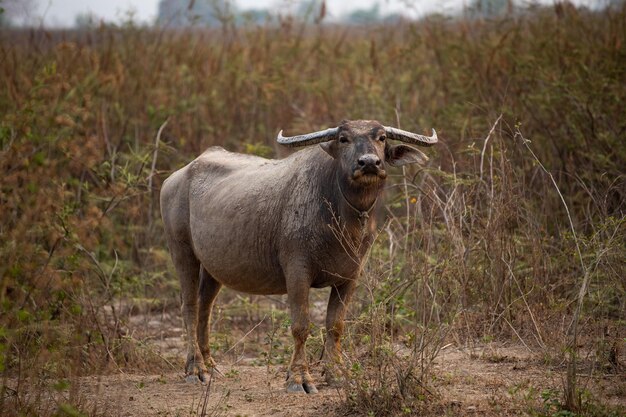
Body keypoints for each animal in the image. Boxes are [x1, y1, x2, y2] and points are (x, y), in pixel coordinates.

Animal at [158, 118, 436, 392]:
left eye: (381, 137)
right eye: (343, 138)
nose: (368, 163)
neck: (341, 217)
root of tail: (176, 178)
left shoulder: (350, 276)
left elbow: (335, 325)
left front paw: (336, 373)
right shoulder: (297, 271)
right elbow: (301, 326)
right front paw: (299, 378)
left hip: (212, 267)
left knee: (205, 307)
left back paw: (211, 365)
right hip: (182, 251)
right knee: (190, 306)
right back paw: (196, 369)